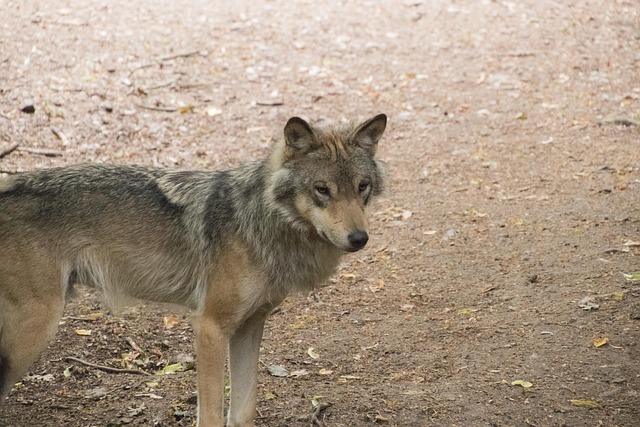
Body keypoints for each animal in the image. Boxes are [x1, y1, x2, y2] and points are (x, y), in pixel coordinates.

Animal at [0, 114, 388, 426]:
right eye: (322, 189)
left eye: (362, 187)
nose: (359, 238)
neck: (262, 223)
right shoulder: (210, 327)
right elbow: (212, 415)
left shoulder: (249, 326)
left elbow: (243, 412)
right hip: (33, 332)